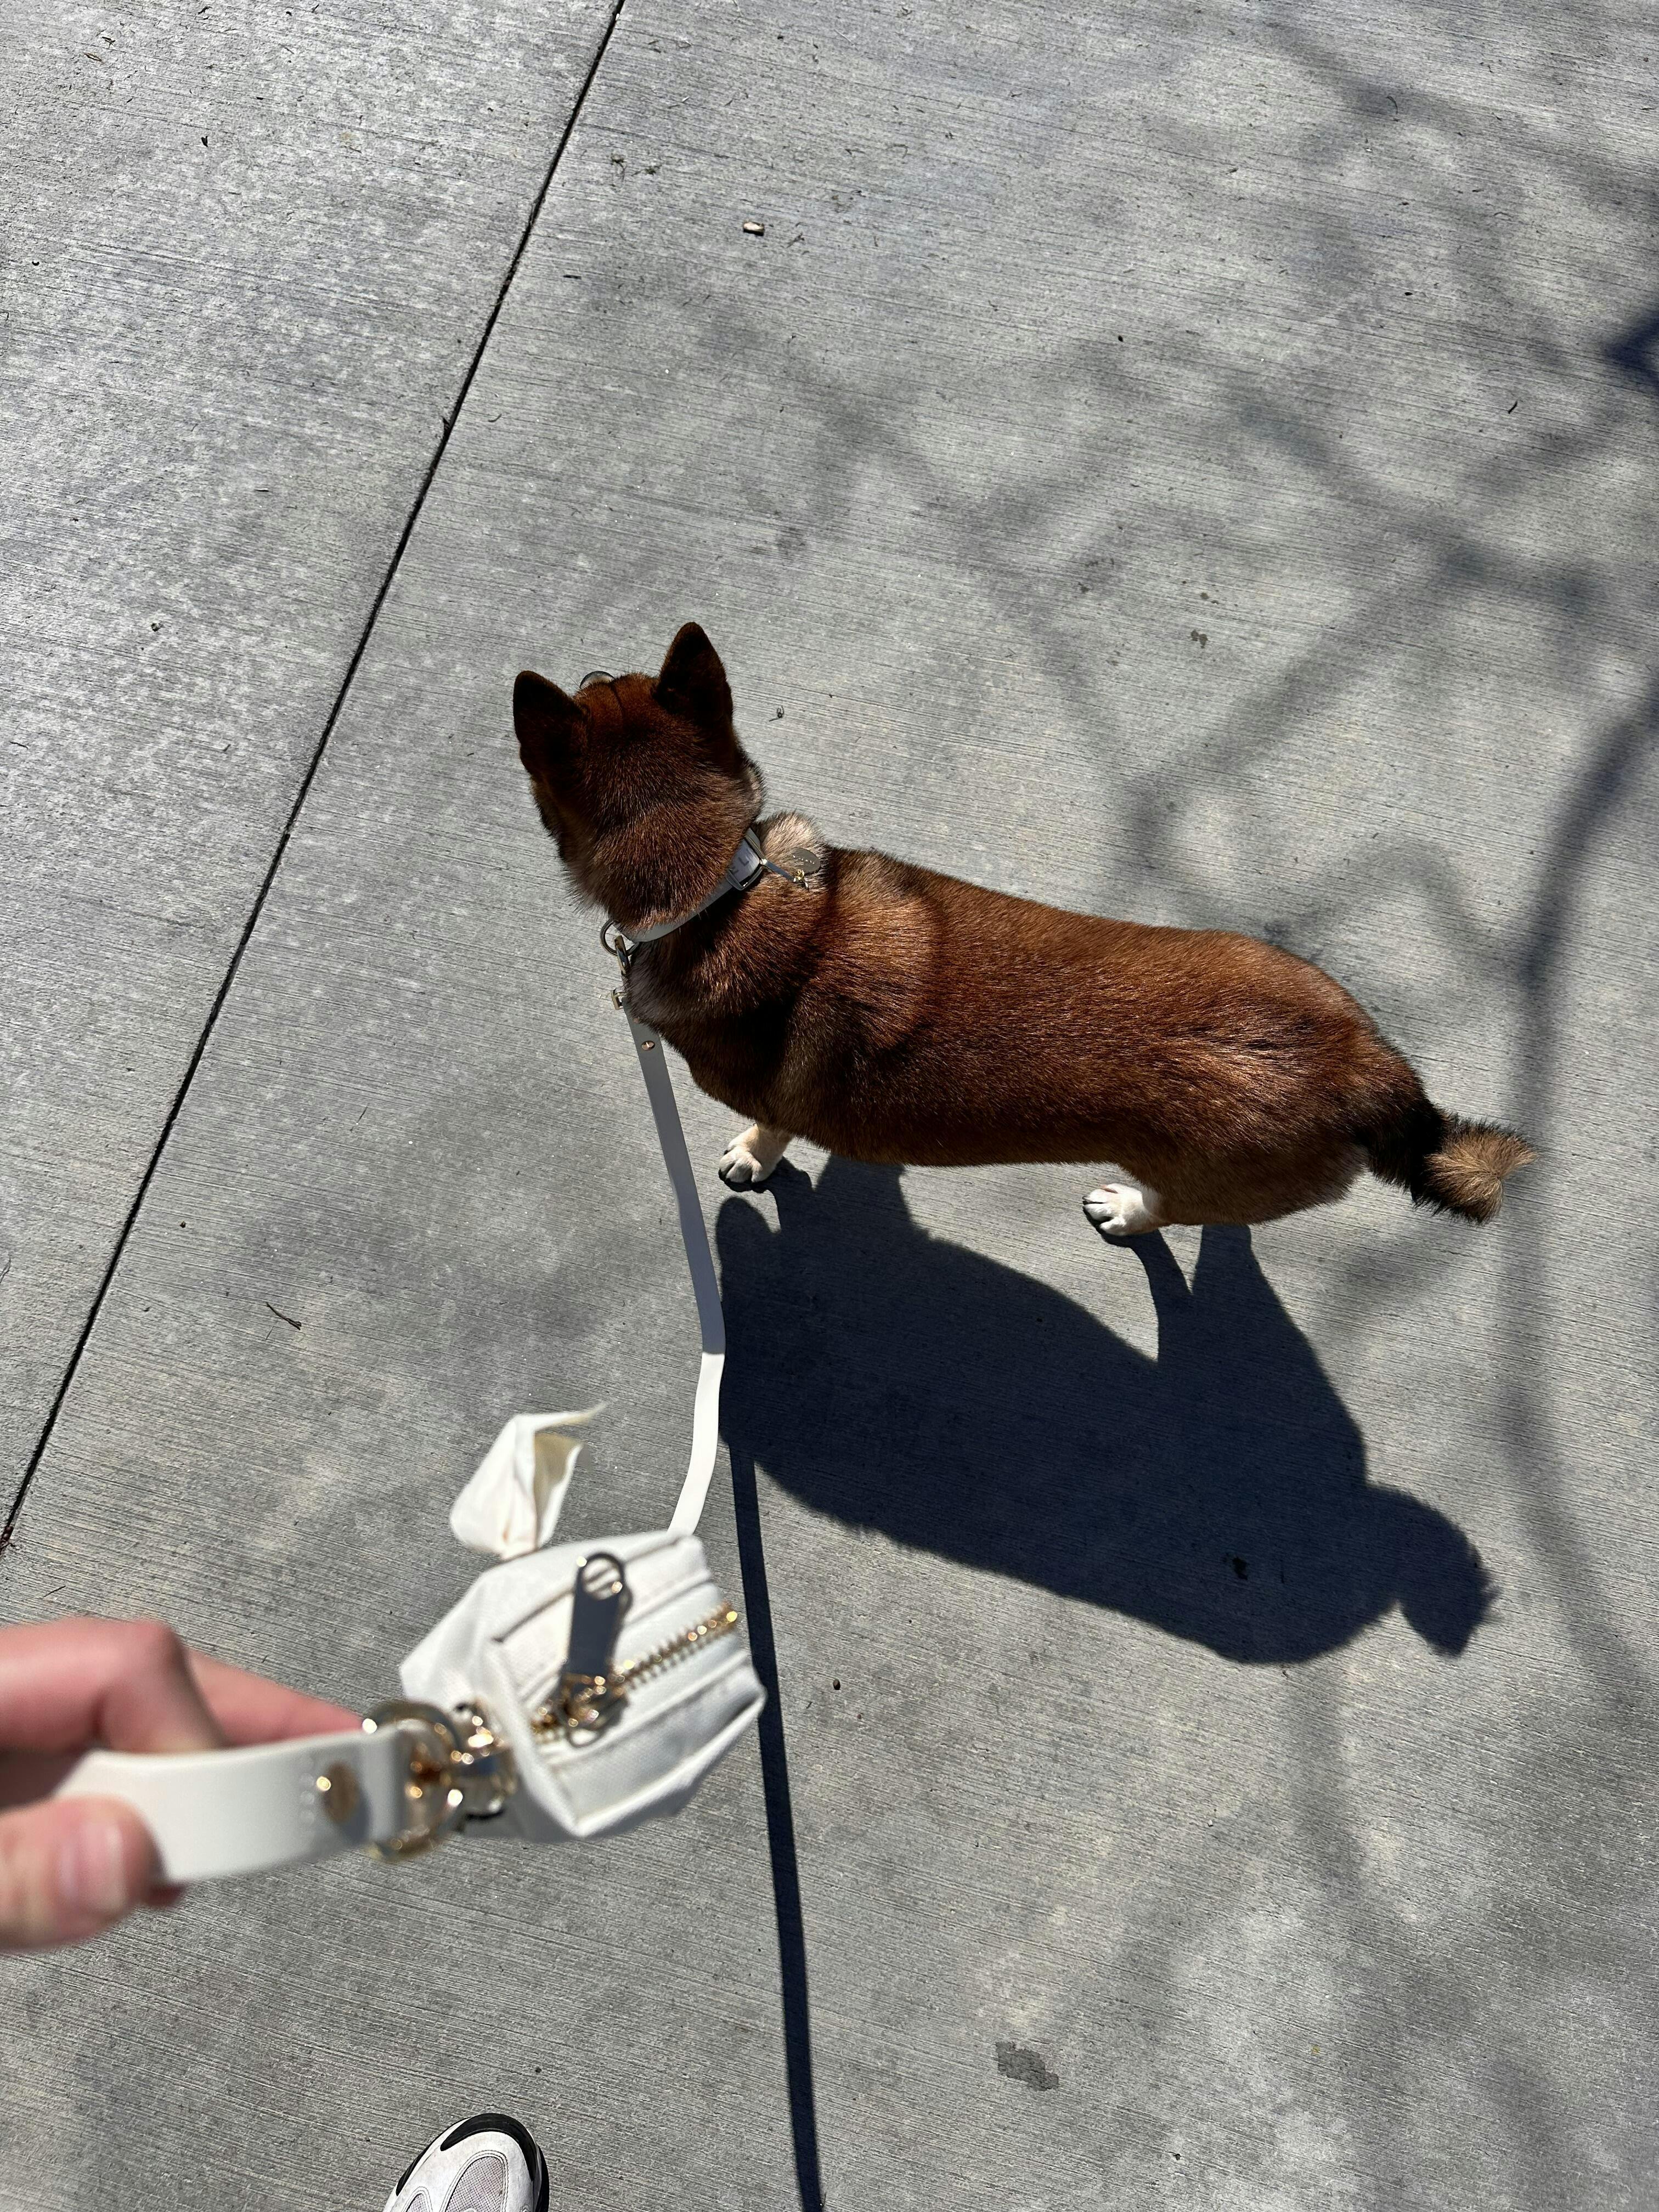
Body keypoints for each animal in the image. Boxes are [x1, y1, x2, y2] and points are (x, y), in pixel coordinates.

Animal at [514, 623, 1533, 1234]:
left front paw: (752, 1159)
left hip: (1202, 1187)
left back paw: (1128, 1210)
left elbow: (771, 1129)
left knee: (1174, 1214)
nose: (587, 667)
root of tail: (1368, 1070)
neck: (722, 887)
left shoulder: (772, 1098)